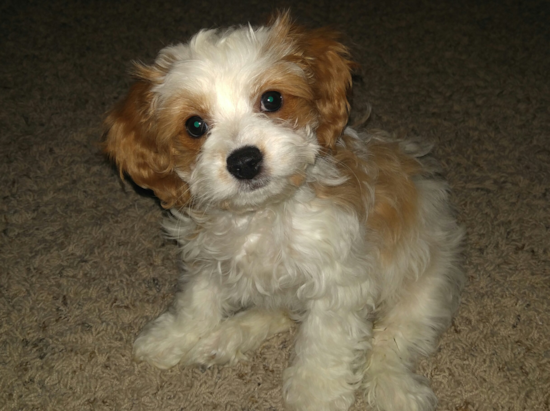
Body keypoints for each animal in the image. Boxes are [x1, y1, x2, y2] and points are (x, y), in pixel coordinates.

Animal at [103, 12, 466, 411]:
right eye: (195, 125)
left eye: (272, 99)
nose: (244, 161)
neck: (262, 215)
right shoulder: (208, 259)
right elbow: (196, 301)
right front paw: (174, 336)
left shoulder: (337, 284)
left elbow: (323, 345)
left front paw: (315, 393)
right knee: (277, 312)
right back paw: (223, 339)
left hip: (426, 288)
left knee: (392, 341)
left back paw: (394, 388)